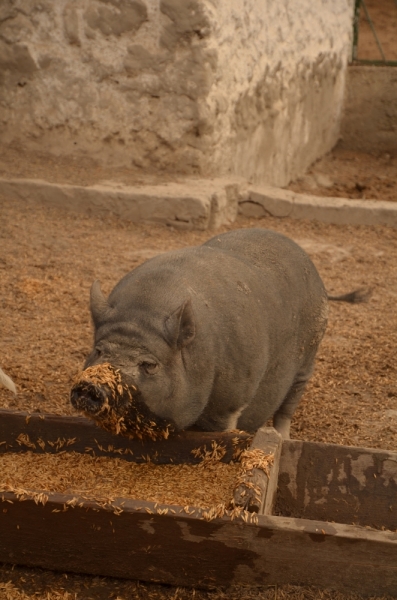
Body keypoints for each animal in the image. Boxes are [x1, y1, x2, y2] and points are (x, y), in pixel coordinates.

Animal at [70, 227, 366, 438]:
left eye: (149, 365)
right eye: (98, 350)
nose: (91, 386)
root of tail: (317, 276)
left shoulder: (232, 400)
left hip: (310, 354)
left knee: (288, 404)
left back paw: (282, 437)